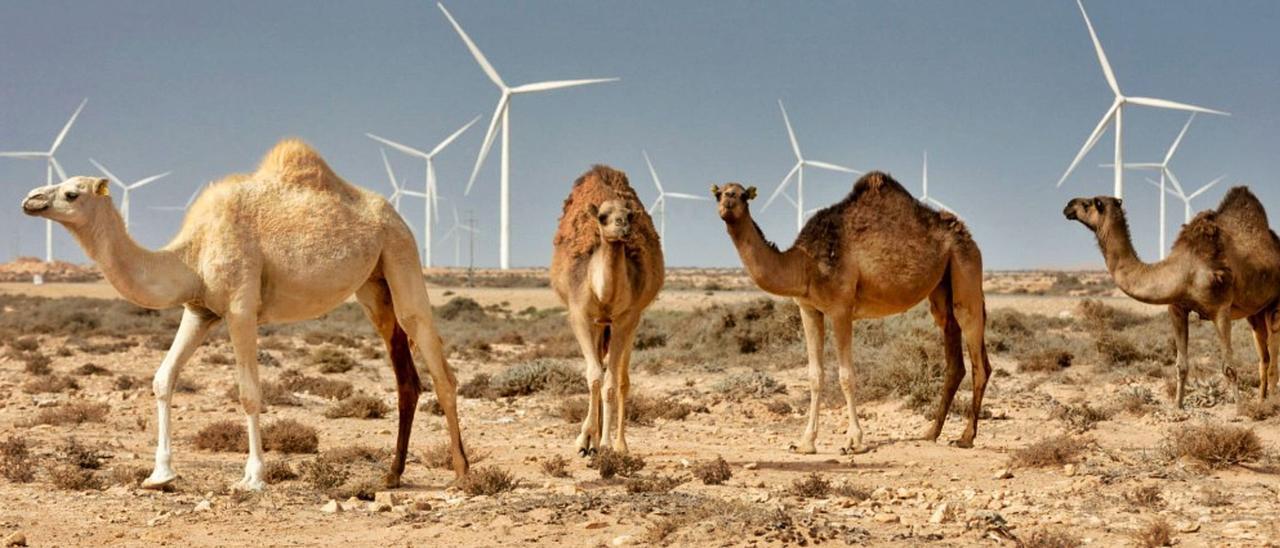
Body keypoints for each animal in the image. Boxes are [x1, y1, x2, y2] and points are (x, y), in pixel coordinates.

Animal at [18, 138, 471, 489]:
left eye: (72, 193)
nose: (30, 199)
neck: (191, 254)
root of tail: (393, 214)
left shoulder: (240, 308)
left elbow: (249, 393)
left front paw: (253, 477)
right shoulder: (200, 310)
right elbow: (163, 378)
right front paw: (160, 474)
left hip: (400, 251)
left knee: (436, 361)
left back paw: (462, 473)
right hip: (374, 286)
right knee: (405, 376)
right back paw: (392, 475)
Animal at [550, 165, 665, 455]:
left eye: (629, 215)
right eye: (602, 217)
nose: (622, 225)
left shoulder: (625, 318)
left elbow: (612, 382)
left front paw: (604, 443)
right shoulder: (579, 315)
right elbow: (593, 377)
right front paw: (584, 440)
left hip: (626, 324)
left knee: (622, 379)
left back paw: (620, 444)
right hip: (599, 325)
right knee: (600, 371)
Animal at [716, 172, 993, 450]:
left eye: (743, 195)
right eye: (718, 193)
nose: (728, 201)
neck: (806, 264)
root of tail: (967, 235)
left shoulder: (841, 308)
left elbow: (846, 376)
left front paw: (854, 441)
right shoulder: (808, 308)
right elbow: (815, 375)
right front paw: (806, 442)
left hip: (966, 264)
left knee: (977, 352)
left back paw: (965, 438)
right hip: (941, 287)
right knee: (953, 353)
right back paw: (930, 433)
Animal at [1059, 185, 1280, 404]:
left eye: (1088, 203)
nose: (1068, 205)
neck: (1183, 271)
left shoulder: (1221, 309)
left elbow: (1230, 368)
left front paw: (1239, 408)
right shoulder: (1177, 308)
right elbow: (1181, 366)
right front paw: (1178, 406)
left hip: (1275, 305)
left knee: (1273, 356)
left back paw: (1271, 403)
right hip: (1255, 312)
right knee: (1264, 358)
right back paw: (1262, 401)